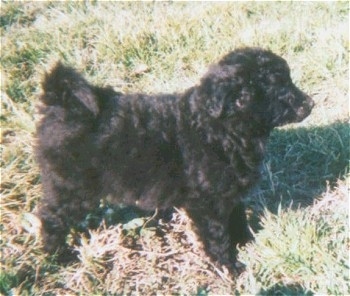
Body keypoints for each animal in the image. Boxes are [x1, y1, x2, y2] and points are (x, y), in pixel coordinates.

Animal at [35, 47, 314, 270]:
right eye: (279, 88)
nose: (310, 103)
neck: (218, 130)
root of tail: (61, 105)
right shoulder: (208, 203)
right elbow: (218, 235)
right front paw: (229, 266)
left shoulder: (229, 192)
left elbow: (237, 218)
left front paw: (248, 242)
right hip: (71, 187)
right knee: (51, 217)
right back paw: (57, 256)